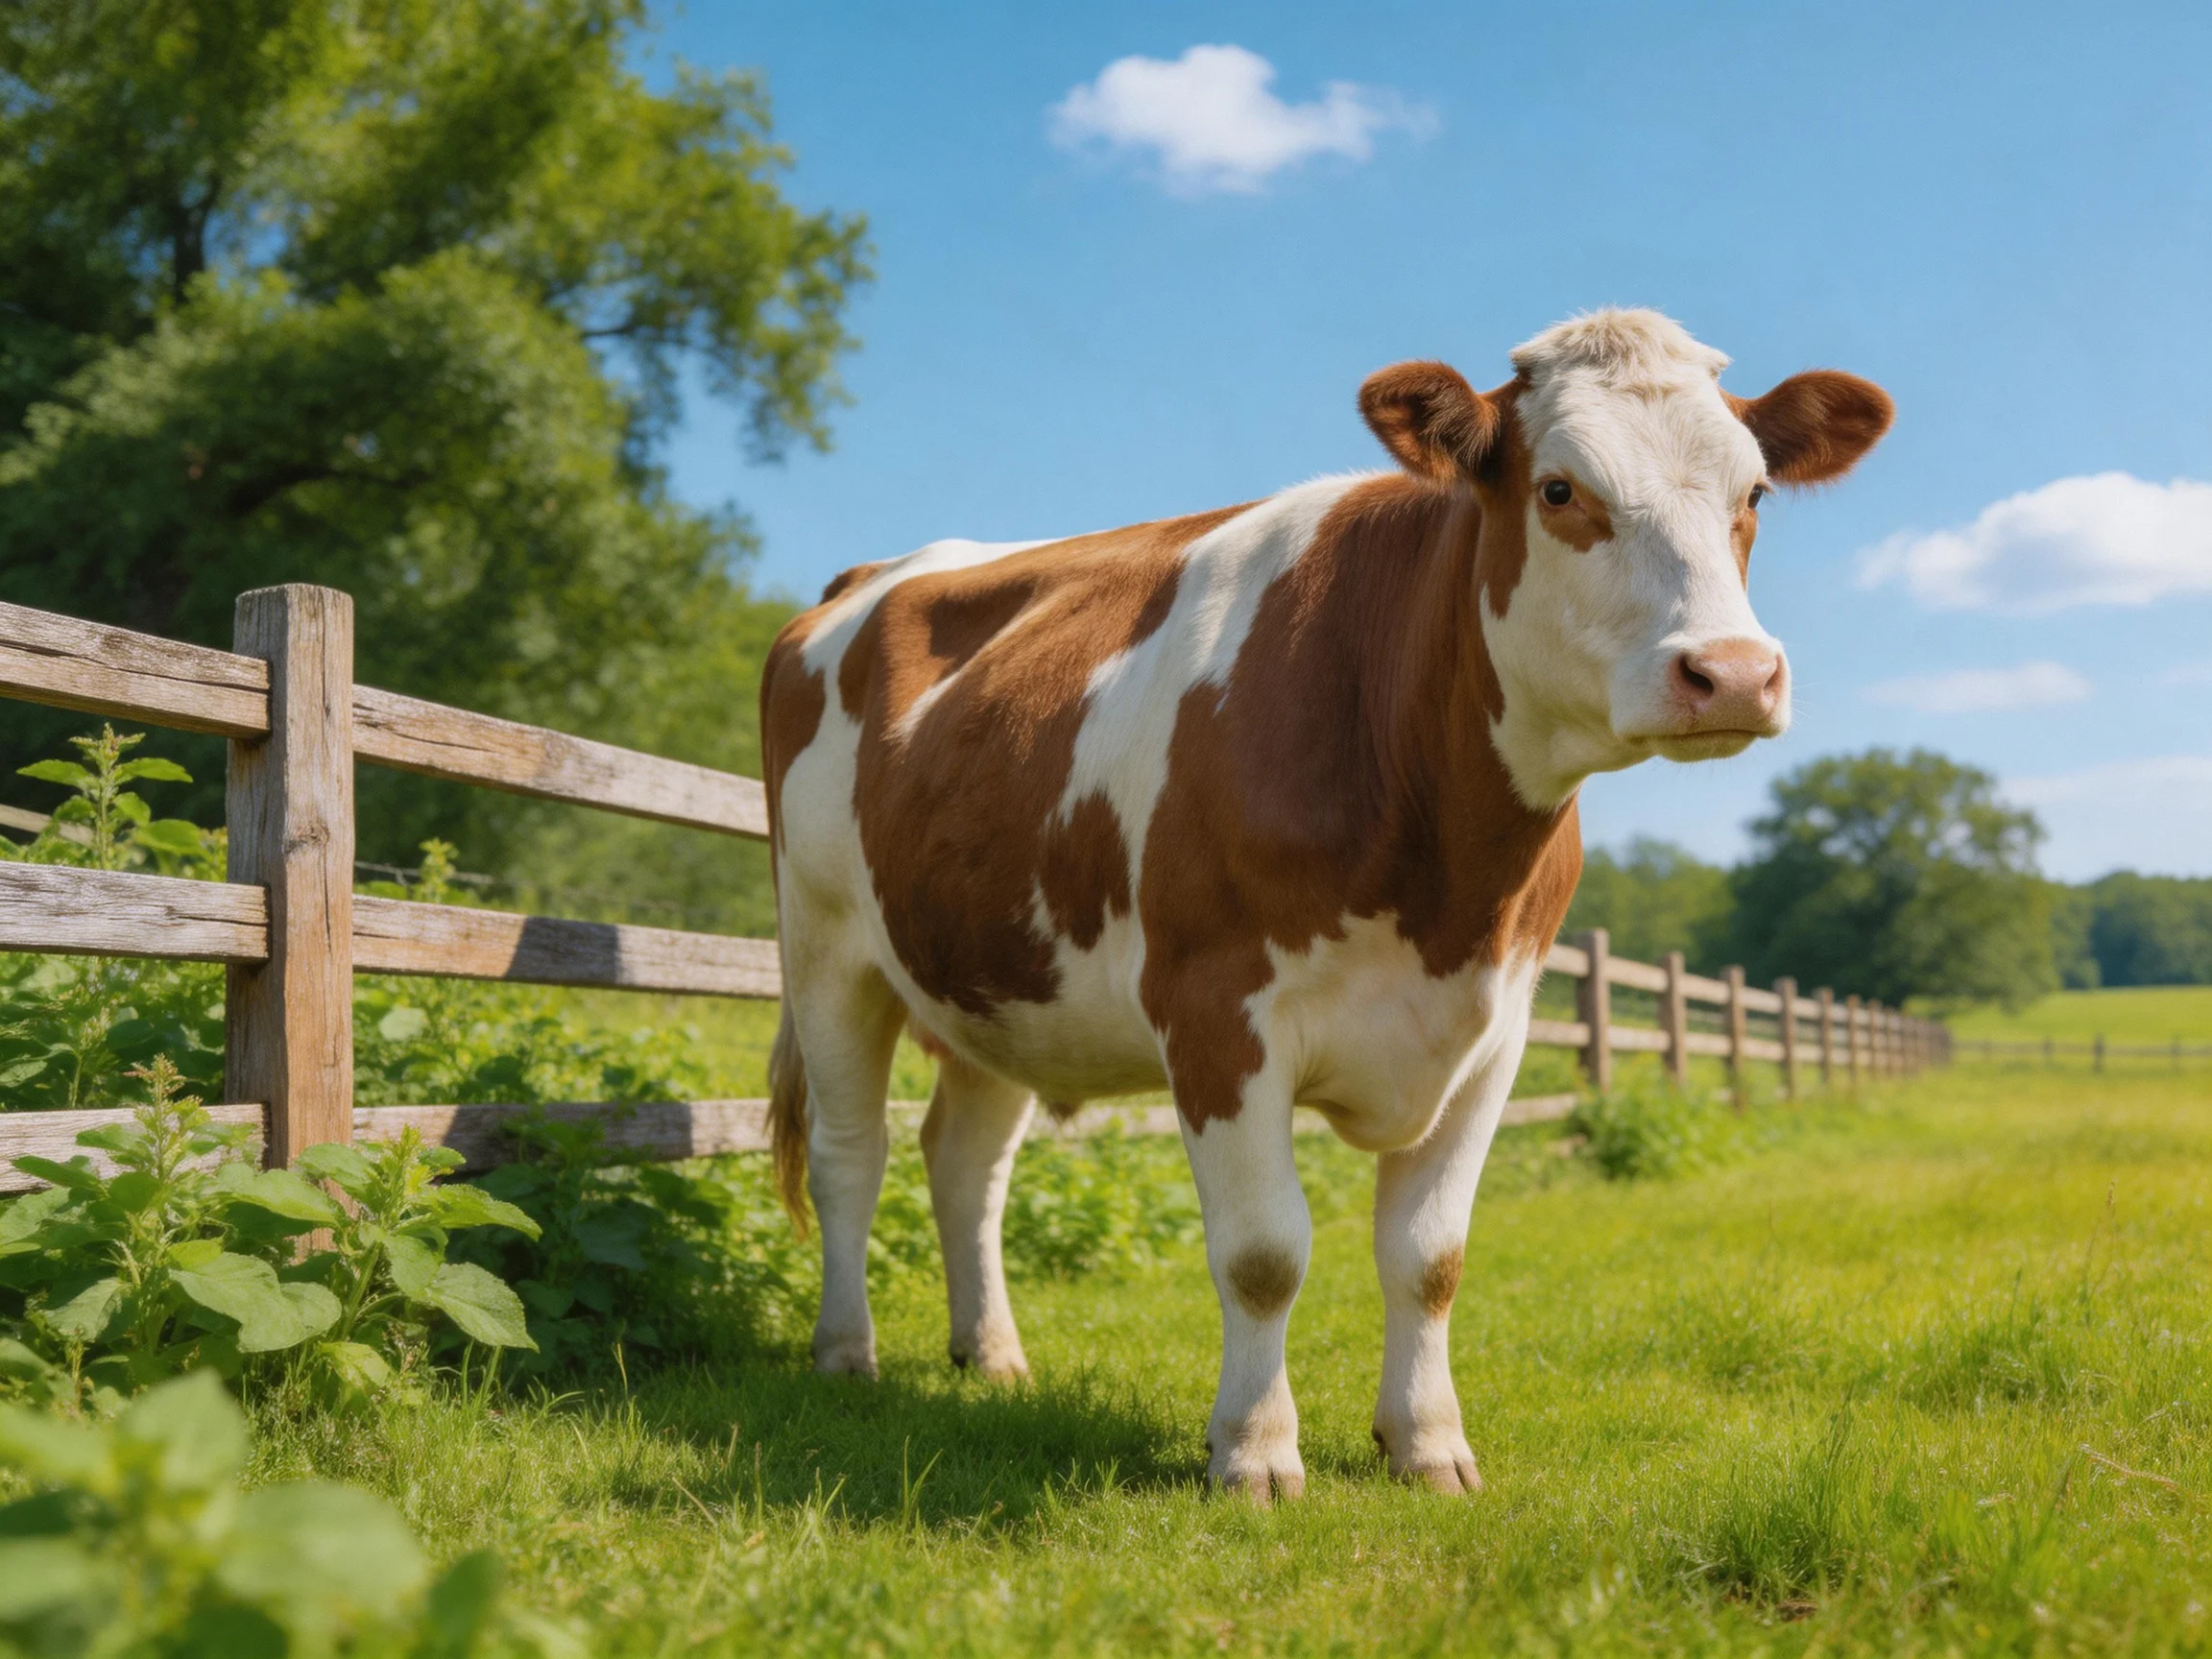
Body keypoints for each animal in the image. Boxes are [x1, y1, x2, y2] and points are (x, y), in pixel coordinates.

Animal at [758, 308, 1891, 1502]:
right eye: (1560, 489)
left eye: (1754, 492)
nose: (1733, 673)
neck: (1444, 879)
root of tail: (875, 574)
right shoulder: (1216, 1013)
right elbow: (1264, 1254)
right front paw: (1254, 1452)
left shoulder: (1494, 1032)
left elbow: (1430, 1257)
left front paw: (1427, 1442)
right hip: (825, 949)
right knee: (849, 1153)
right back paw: (847, 1352)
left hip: (998, 980)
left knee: (966, 1164)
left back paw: (993, 1354)